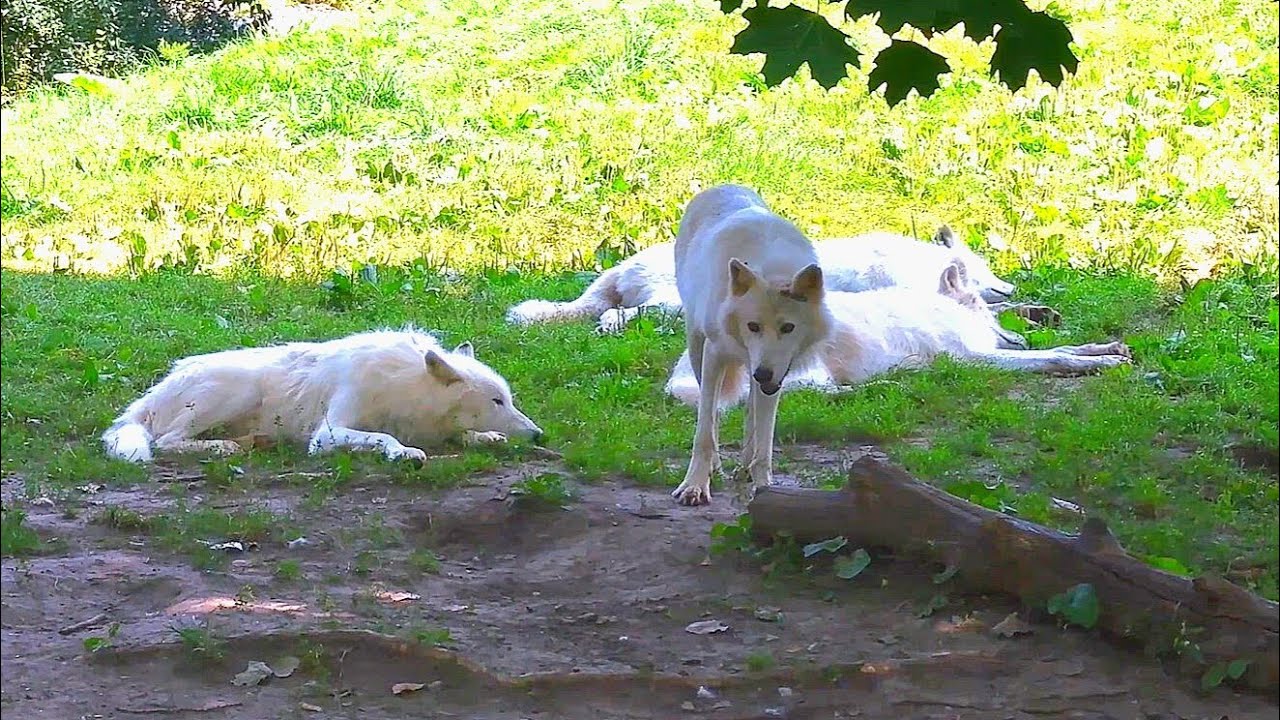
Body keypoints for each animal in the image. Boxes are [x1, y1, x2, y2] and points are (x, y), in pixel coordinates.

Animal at [102, 328, 543, 464]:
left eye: (509, 400)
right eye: (497, 401)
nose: (539, 434)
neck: (407, 385)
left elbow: (465, 436)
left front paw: (486, 437)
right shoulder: (327, 433)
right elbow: (383, 437)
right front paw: (403, 453)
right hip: (237, 390)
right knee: (166, 441)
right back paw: (224, 447)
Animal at [665, 259, 1132, 409]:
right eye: (988, 311)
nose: (1020, 337)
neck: (946, 310)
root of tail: (678, 376)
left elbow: (1071, 346)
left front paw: (1109, 348)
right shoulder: (974, 359)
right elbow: (1056, 357)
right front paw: (1101, 362)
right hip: (800, 370)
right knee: (819, 394)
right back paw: (889, 383)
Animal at [670, 184, 835, 506]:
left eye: (788, 328)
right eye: (753, 326)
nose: (762, 374)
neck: (772, 271)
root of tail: (723, 185)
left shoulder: (776, 375)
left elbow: (764, 437)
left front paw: (764, 487)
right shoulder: (715, 354)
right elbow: (704, 431)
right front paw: (695, 486)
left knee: (750, 412)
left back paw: (744, 468)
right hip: (698, 348)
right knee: (714, 415)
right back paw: (717, 466)